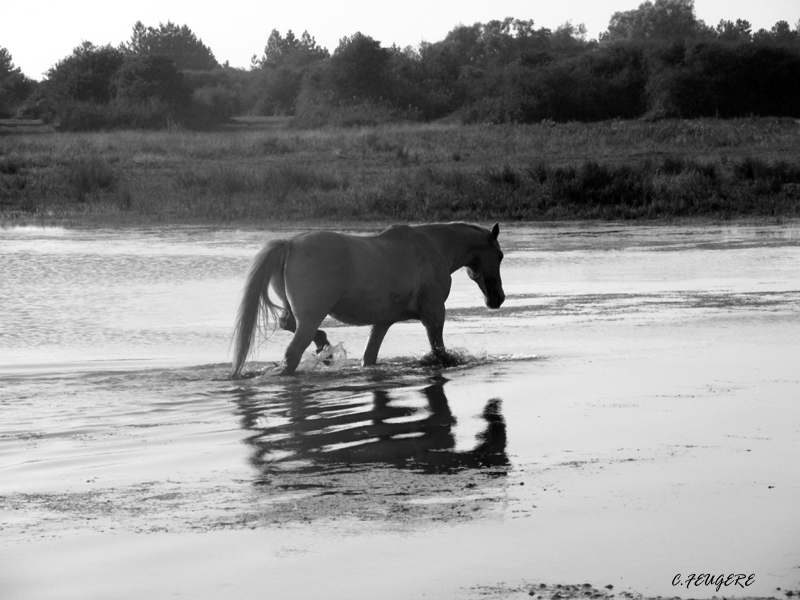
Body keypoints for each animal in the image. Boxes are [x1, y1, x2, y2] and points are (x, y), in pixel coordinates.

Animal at [231, 223, 504, 378]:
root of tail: (290, 245)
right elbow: (439, 351)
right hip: (310, 317)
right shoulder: (434, 313)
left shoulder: (382, 322)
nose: (497, 298)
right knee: (292, 355)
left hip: (296, 313)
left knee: (287, 324)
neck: (433, 246)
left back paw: (326, 350)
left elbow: (369, 356)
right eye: (500, 256)